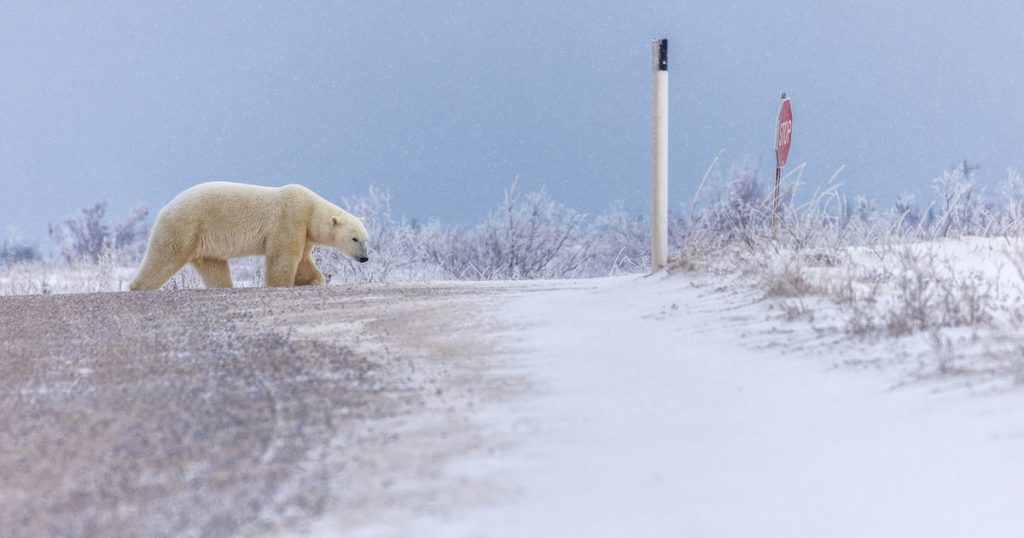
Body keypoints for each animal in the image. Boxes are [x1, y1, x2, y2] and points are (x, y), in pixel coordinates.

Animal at [129, 182, 369, 291]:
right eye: (354, 238)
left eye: (366, 239)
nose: (365, 258)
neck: (310, 209)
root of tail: (166, 208)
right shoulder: (289, 220)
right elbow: (283, 258)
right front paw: (282, 285)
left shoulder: (304, 233)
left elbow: (303, 261)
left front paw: (314, 280)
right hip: (186, 226)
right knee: (164, 257)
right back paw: (138, 287)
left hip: (204, 242)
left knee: (214, 267)